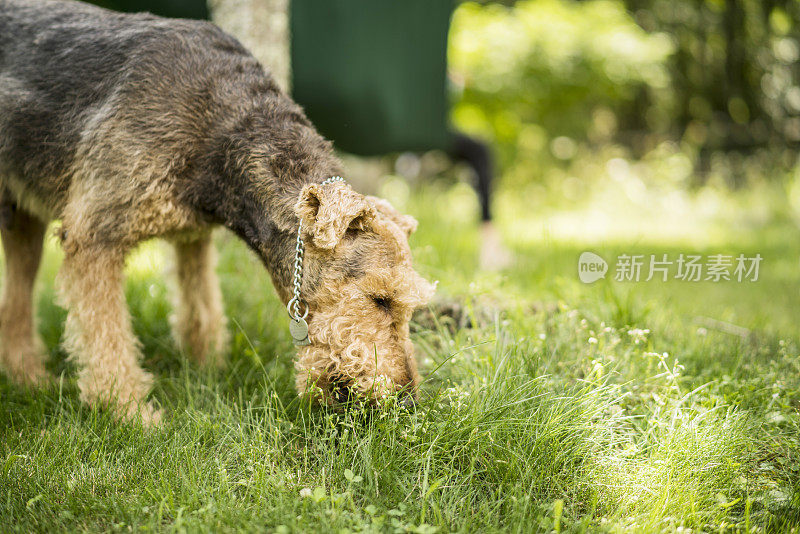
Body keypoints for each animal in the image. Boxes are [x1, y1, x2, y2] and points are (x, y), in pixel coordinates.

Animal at [0, 0, 434, 428]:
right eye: (380, 299)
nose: (407, 401)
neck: (221, 127)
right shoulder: (94, 235)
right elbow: (108, 338)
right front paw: (130, 413)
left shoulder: (193, 235)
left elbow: (201, 309)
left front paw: (206, 370)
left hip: (22, 220)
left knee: (15, 305)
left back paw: (29, 380)